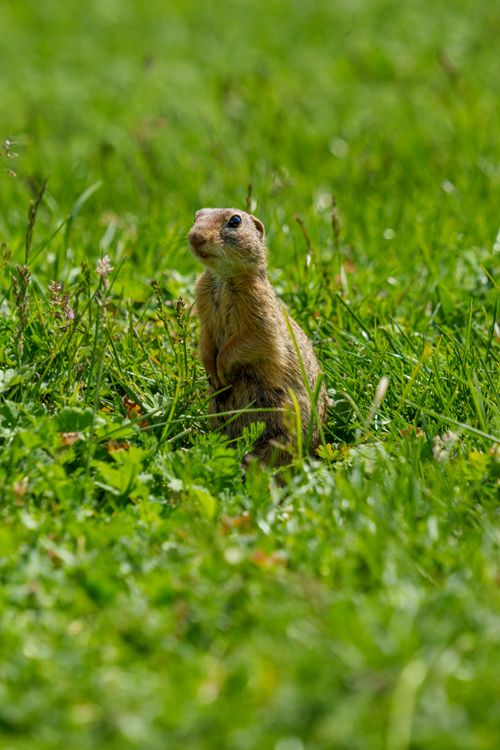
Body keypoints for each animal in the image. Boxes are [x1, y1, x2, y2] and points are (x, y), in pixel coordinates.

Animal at [188, 207, 328, 467]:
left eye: (235, 221)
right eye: (196, 216)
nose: (195, 237)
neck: (222, 279)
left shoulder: (259, 312)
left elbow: (250, 342)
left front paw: (222, 371)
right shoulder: (204, 311)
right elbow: (206, 342)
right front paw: (212, 372)